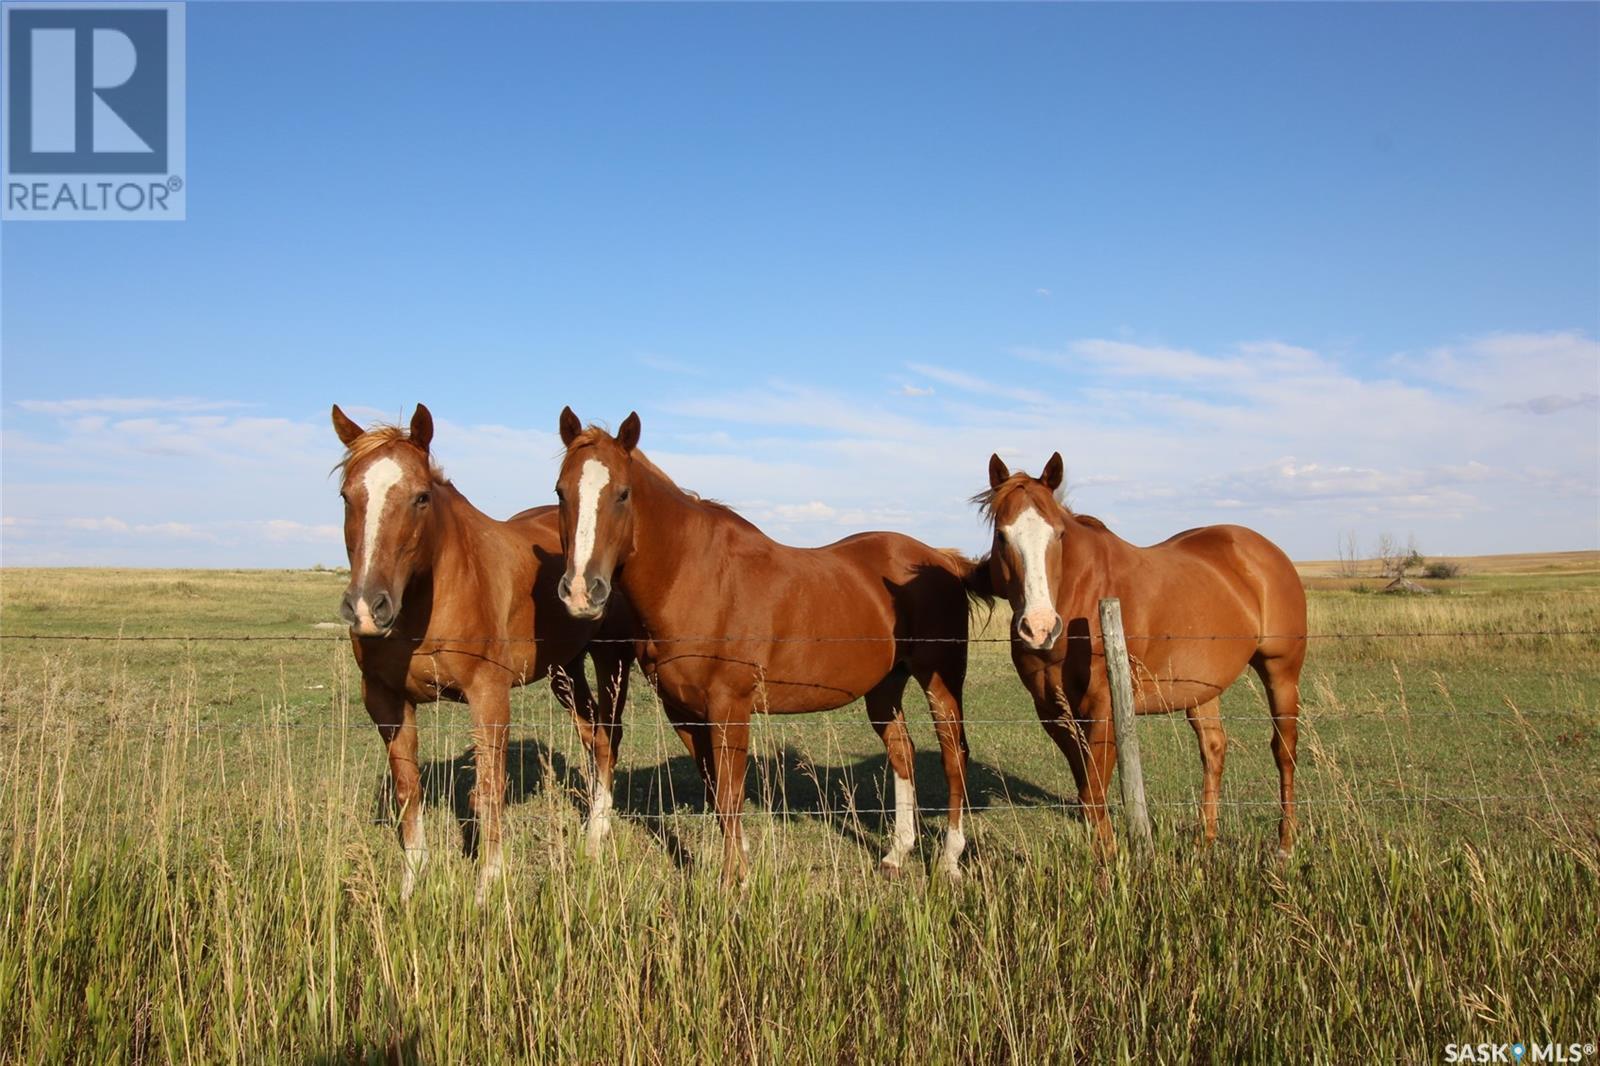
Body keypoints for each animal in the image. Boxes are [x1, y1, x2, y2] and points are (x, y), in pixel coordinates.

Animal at [334, 403, 633, 902]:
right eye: (346, 496)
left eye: (421, 498)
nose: (367, 608)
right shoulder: (386, 702)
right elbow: (408, 790)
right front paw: (411, 884)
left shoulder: (489, 696)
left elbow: (490, 790)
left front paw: (486, 887)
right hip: (565, 669)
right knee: (591, 733)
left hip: (613, 660)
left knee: (609, 736)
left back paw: (598, 832)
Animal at [550, 406, 979, 877]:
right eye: (560, 493)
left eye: (623, 494)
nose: (581, 592)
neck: (694, 577)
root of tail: (942, 560)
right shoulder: (685, 713)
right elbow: (719, 796)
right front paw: (740, 865)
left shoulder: (730, 709)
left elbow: (729, 794)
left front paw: (733, 879)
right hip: (885, 687)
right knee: (903, 751)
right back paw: (897, 852)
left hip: (940, 682)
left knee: (953, 756)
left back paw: (950, 860)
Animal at [966, 454, 1305, 857]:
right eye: (1002, 536)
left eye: (1058, 535)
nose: (1040, 627)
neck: (1082, 597)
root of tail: (1268, 552)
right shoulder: (1053, 712)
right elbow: (1085, 789)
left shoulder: (1103, 708)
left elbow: (1095, 790)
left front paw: (1109, 859)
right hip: (1202, 689)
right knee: (1213, 749)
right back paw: (1204, 841)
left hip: (1281, 673)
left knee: (1284, 750)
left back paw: (1285, 844)